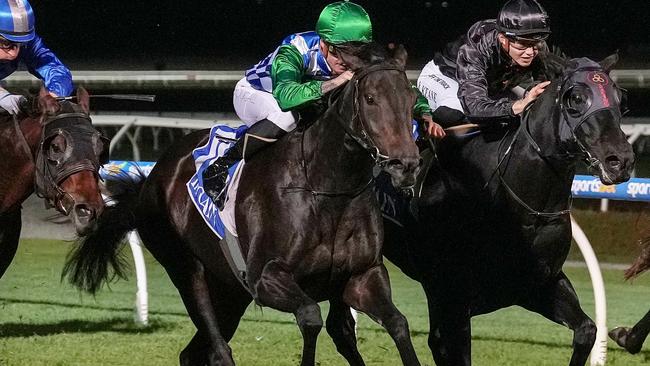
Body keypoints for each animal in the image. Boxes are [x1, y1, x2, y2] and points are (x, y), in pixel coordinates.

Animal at [64, 43, 420, 366]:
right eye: (370, 99)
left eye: (411, 98)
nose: (406, 164)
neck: (327, 187)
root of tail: (150, 183)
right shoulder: (266, 279)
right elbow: (310, 317)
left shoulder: (362, 276)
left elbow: (397, 323)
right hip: (189, 273)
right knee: (218, 349)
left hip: (230, 291)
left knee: (192, 353)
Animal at [378, 55, 632, 366]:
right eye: (576, 98)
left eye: (620, 99)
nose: (620, 160)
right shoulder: (451, 299)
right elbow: (448, 346)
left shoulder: (536, 284)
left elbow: (587, 330)